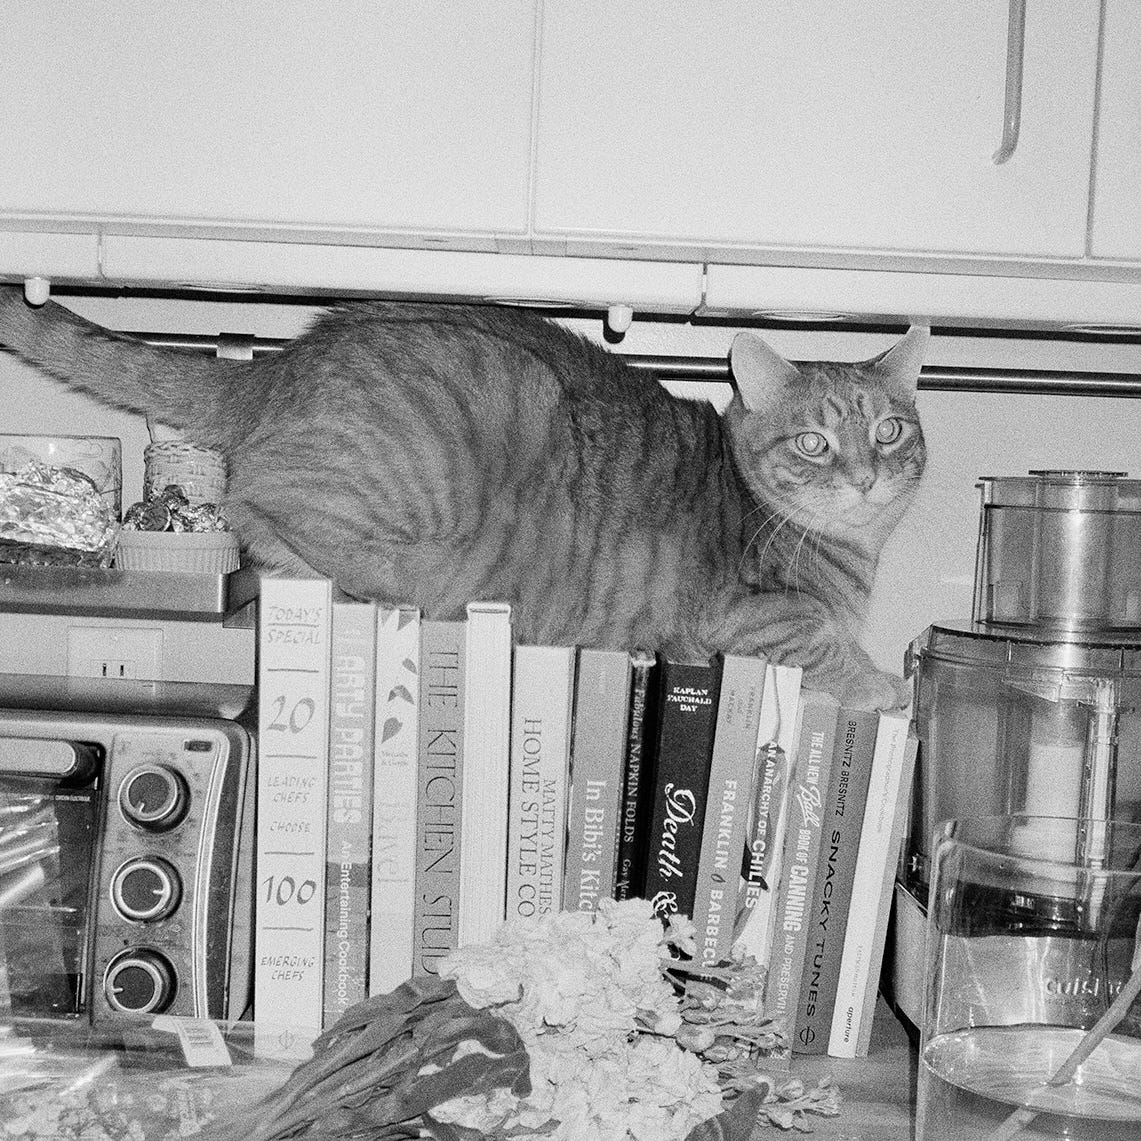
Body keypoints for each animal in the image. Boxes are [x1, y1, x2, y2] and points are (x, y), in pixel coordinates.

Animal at [0, 289, 926, 707]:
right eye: (814, 442)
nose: (865, 477)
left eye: (888, 431)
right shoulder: (748, 615)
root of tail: (279, 365)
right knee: (269, 500)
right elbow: (822, 638)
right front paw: (882, 679)